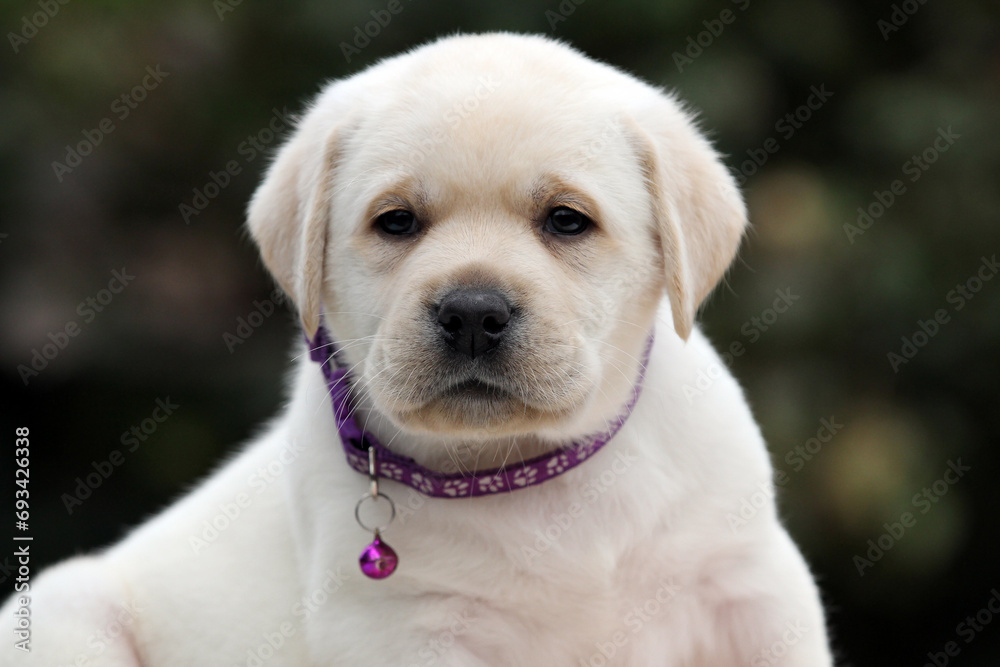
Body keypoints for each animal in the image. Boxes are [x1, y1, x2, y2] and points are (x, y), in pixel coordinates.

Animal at [3, 32, 836, 667]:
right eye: (396, 221)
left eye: (567, 220)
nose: (472, 312)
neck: (521, 469)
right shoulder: (404, 631)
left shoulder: (753, 584)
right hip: (67, 614)